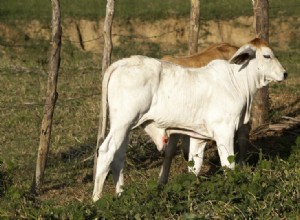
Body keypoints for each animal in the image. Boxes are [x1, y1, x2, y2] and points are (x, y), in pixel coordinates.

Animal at [92, 38, 288, 201]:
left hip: (125, 127)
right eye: (267, 55)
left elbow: (194, 166)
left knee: (118, 156)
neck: (237, 81)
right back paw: (97, 200)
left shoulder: (198, 137)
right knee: (106, 151)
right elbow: (228, 164)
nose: (285, 73)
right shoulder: (224, 132)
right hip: (122, 122)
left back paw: (120, 194)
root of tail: (125, 62)